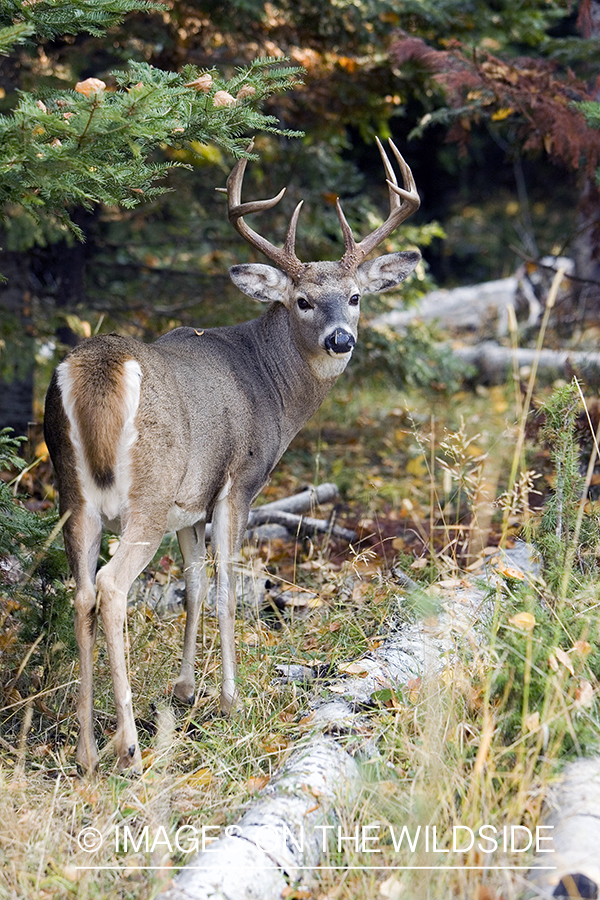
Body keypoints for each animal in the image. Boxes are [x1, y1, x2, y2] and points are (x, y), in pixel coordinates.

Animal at [43, 137, 422, 768]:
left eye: (355, 296)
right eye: (302, 301)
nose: (340, 339)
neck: (270, 384)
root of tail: (99, 371)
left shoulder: (190, 503)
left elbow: (194, 586)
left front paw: (184, 689)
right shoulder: (238, 483)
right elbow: (226, 590)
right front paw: (229, 699)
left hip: (73, 493)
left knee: (81, 593)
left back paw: (87, 750)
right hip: (147, 492)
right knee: (112, 589)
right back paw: (129, 747)